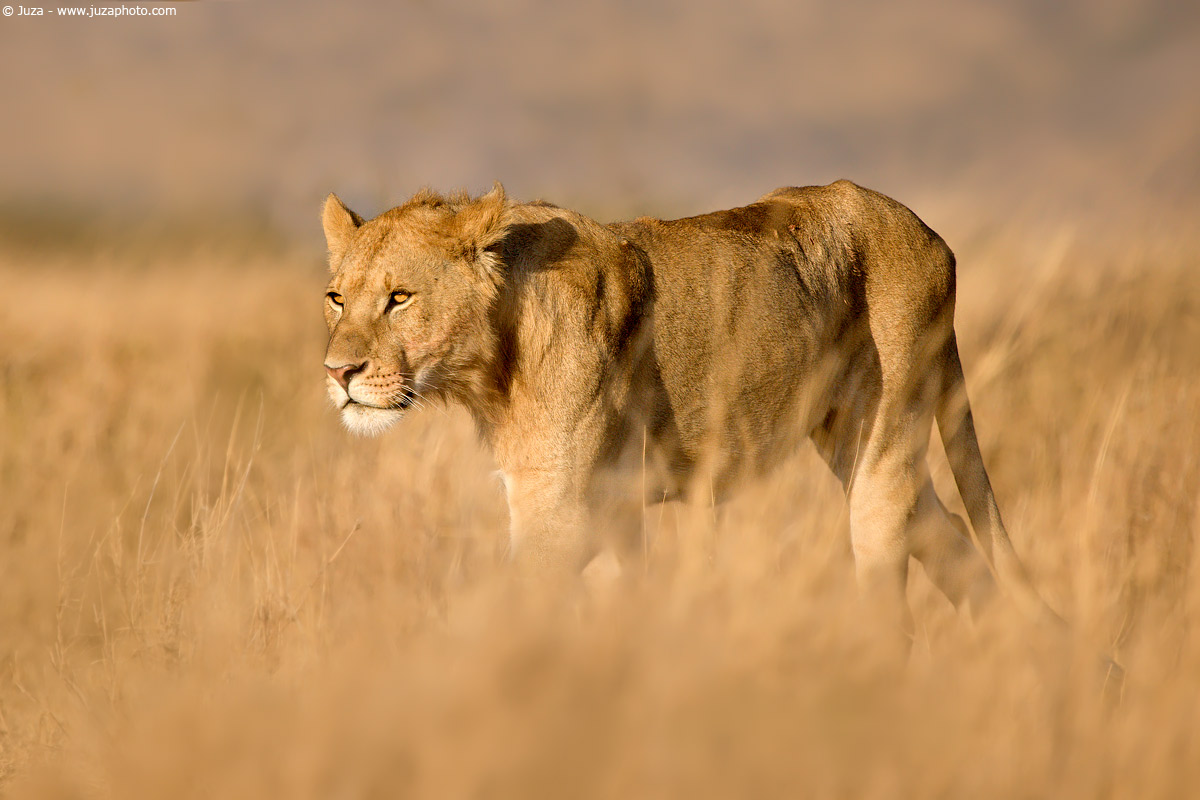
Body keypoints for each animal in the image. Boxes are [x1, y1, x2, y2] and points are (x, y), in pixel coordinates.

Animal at [320, 180, 1060, 630]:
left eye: (399, 298)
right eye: (337, 298)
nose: (338, 372)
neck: (491, 362)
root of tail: (930, 234)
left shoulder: (558, 507)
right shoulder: (613, 507)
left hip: (885, 450)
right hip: (856, 444)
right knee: (953, 539)